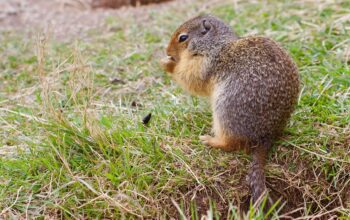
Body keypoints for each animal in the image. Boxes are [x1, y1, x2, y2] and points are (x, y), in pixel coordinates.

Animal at [161, 14, 300, 203]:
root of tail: (267, 136)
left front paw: (167, 64)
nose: (167, 51)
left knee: (232, 144)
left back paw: (210, 140)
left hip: (225, 109)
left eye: (183, 38)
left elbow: (191, 77)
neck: (216, 45)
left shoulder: (205, 63)